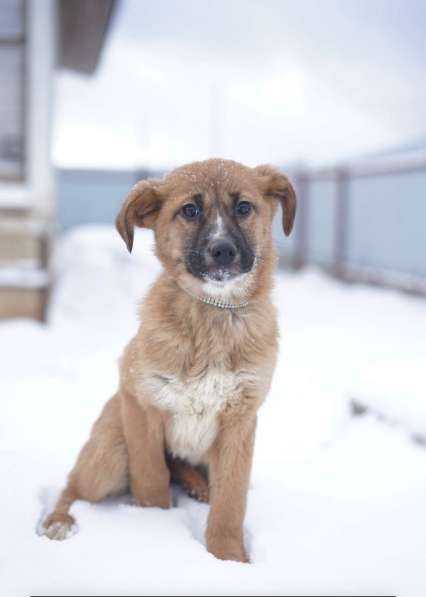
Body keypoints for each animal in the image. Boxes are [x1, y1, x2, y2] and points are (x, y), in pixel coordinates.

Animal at [40, 159, 296, 564]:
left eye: (244, 207)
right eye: (189, 211)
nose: (222, 251)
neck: (213, 312)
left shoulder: (240, 422)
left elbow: (231, 499)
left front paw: (229, 558)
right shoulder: (141, 404)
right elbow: (151, 478)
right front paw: (156, 530)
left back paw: (197, 486)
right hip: (109, 452)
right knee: (75, 484)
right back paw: (59, 520)